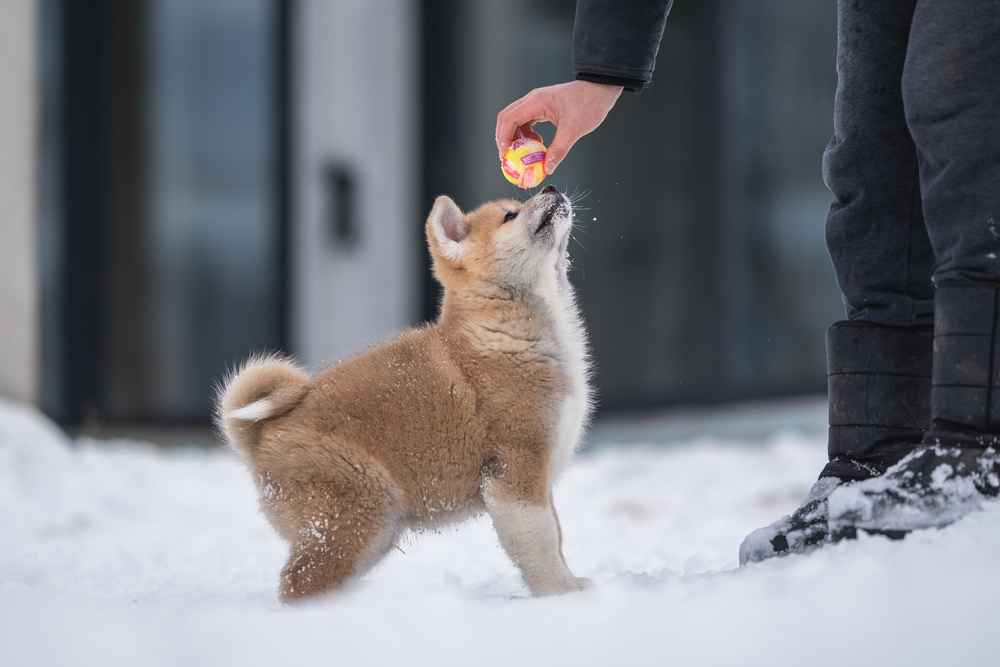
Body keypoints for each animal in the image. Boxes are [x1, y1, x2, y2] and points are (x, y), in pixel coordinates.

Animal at [218, 185, 588, 604]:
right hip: (356, 512)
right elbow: (541, 544)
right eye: (510, 215)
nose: (550, 187)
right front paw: (562, 594)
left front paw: (573, 586)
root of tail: (260, 435)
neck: (502, 331)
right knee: (298, 583)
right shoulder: (516, 472)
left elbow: (556, 535)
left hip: (372, 529)